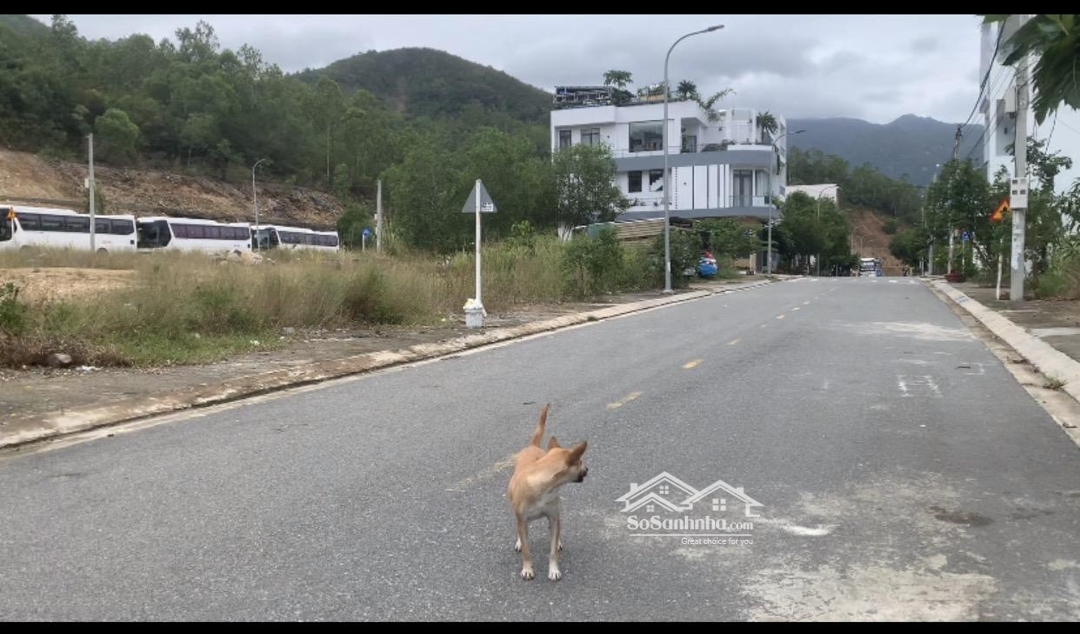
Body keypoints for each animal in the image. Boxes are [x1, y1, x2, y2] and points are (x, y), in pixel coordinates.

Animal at [507, 403, 588, 581]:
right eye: (580, 462)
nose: (587, 469)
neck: (543, 488)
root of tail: (533, 446)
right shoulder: (522, 519)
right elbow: (526, 551)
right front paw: (527, 569)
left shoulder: (553, 515)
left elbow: (552, 550)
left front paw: (553, 569)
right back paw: (519, 541)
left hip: (556, 514)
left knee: (557, 528)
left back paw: (558, 542)